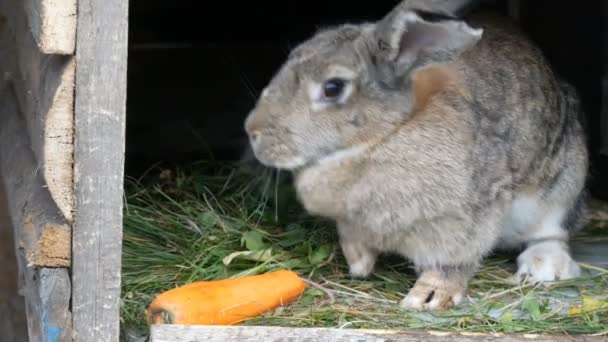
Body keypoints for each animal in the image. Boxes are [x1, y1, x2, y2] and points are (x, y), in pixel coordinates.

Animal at [242, 0, 588, 310]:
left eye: (333, 87)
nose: (252, 131)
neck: (384, 136)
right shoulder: (350, 221)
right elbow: (352, 238)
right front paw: (359, 265)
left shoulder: (473, 212)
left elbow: (452, 261)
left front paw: (430, 296)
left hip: (561, 184)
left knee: (551, 232)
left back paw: (543, 267)